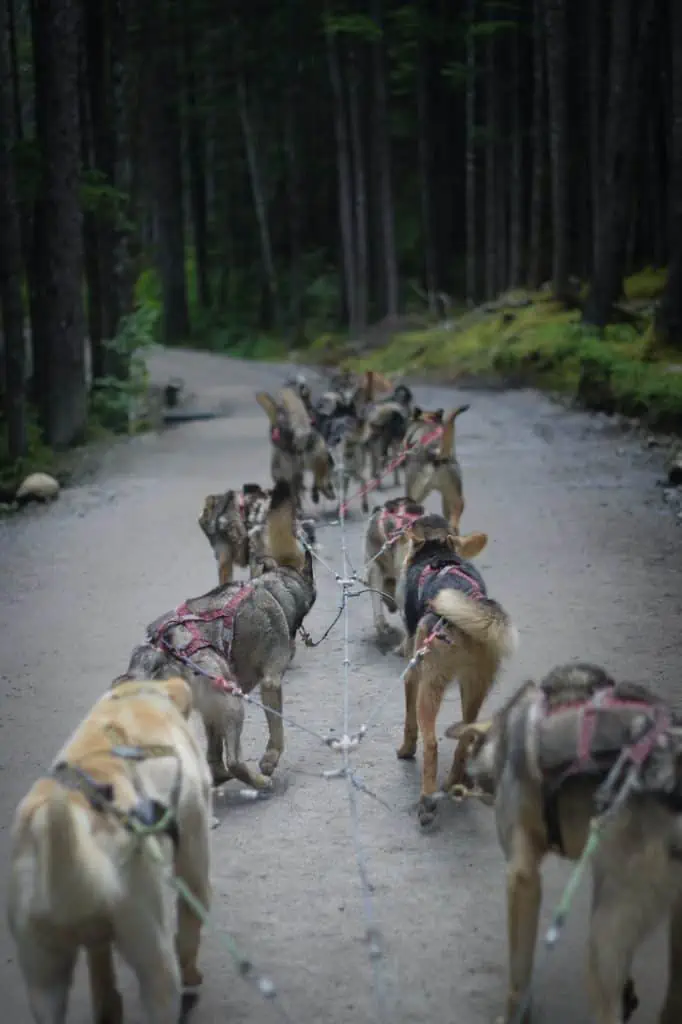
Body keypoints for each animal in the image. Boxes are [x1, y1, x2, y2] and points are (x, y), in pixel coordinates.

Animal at [6, 675, 210, 1019]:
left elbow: (99, 965)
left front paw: (108, 1005)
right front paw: (193, 974)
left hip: (43, 977)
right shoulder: (193, 847)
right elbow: (191, 921)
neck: (134, 697)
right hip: (151, 948)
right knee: (162, 981)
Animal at [393, 512, 516, 823]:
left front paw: (406, 750)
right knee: (467, 734)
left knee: (432, 743)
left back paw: (427, 800)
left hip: (430, 687)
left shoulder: (412, 674)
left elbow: (409, 724)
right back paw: (454, 780)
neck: (439, 553)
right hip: (475, 685)